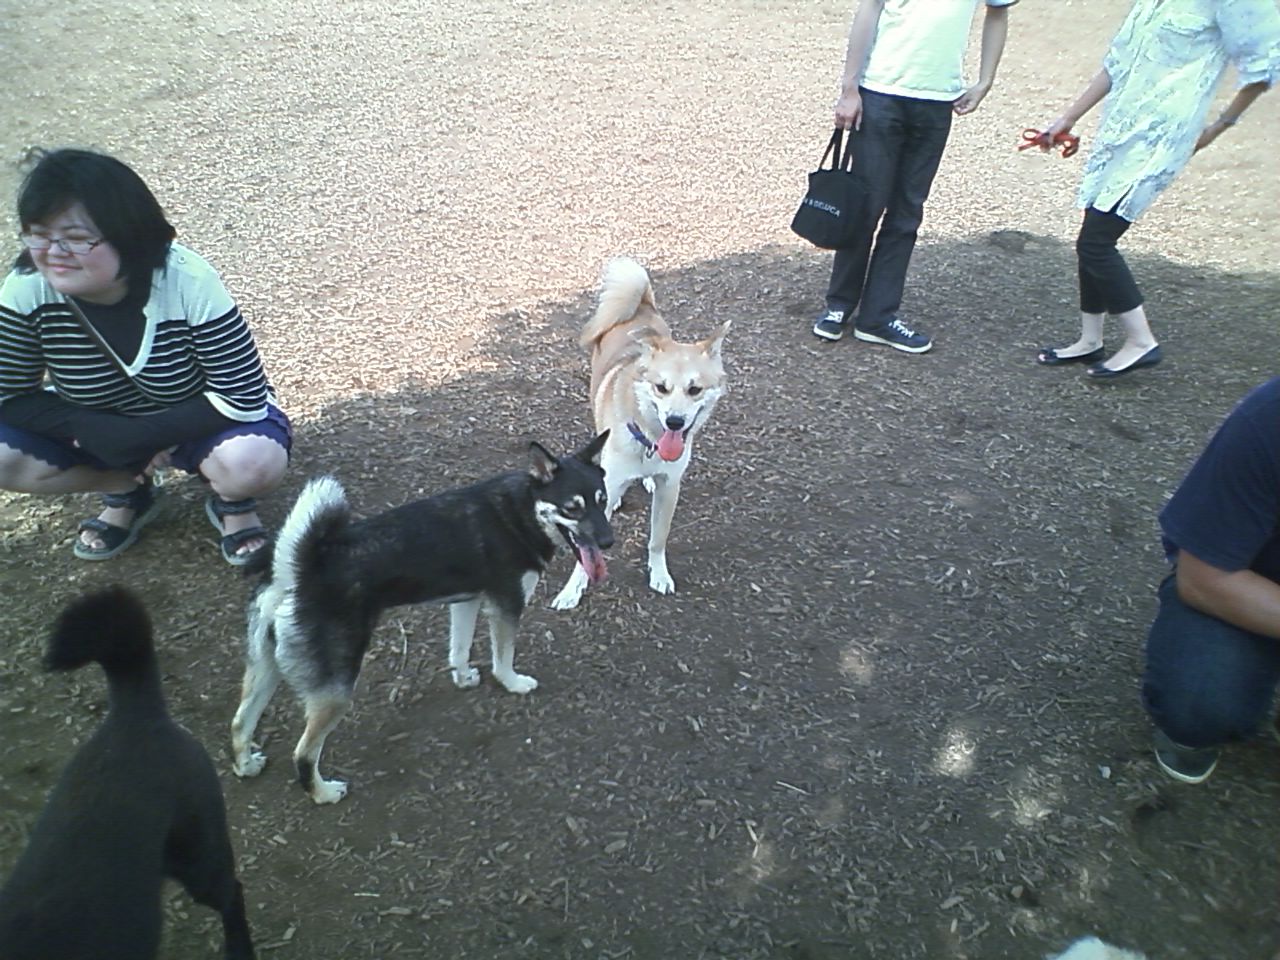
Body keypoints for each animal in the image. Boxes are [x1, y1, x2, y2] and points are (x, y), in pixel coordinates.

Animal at [230, 434, 613, 804]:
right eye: (572, 508)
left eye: (603, 499)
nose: (608, 541)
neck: (519, 513)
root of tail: (295, 569)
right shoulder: (506, 607)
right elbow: (503, 658)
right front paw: (513, 683)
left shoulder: (466, 602)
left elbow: (459, 649)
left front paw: (463, 678)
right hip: (335, 689)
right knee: (303, 754)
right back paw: (324, 793)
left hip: (266, 669)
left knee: (239, 723)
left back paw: (246, 765)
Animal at [551, 257, 729, 610]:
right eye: (661, 387)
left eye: (695, 389)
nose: (675, 422)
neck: (648, 440)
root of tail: (640, 305)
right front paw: (572, 590)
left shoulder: (670, 487)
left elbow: (658, 539)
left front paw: (659, 573)